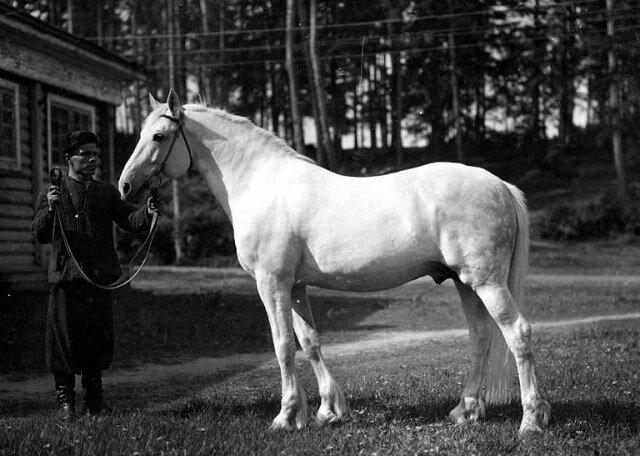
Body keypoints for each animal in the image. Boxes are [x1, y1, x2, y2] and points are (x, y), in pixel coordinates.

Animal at [120, 90, 552, 434]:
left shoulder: (271, 283)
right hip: (465, 282)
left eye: (159, 136)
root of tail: (499, 185)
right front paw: (328, 411)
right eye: (140, 135)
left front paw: (285, 417)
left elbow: (282, 345)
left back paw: (530, 421)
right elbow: (309, 342)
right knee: (480, 337)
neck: (261, 183)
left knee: (517, 333)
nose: (125, 187)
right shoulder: (294, 286)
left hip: (486, 282)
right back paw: (465, 411)